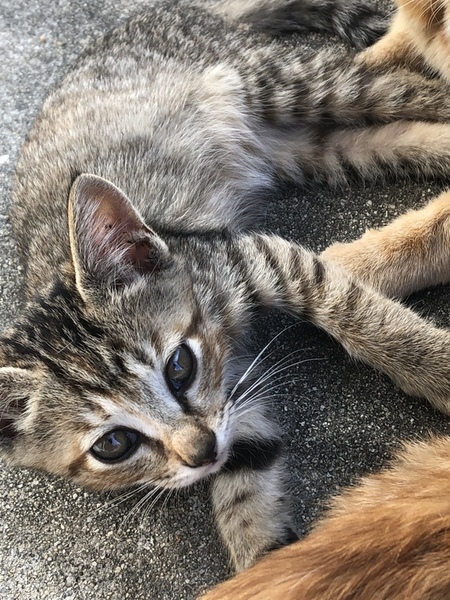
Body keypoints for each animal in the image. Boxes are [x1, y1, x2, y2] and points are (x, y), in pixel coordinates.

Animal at [4, 0, 450, 573]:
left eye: (179, 366)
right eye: (114, 444)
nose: (200, 452)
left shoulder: (257, 257)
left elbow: (360, 315)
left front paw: (435, 367)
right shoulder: (232, 409)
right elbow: (245, 484)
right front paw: (269, 564)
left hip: (286, 82)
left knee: (405, 87)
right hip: (307, 148)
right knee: (377, 139)